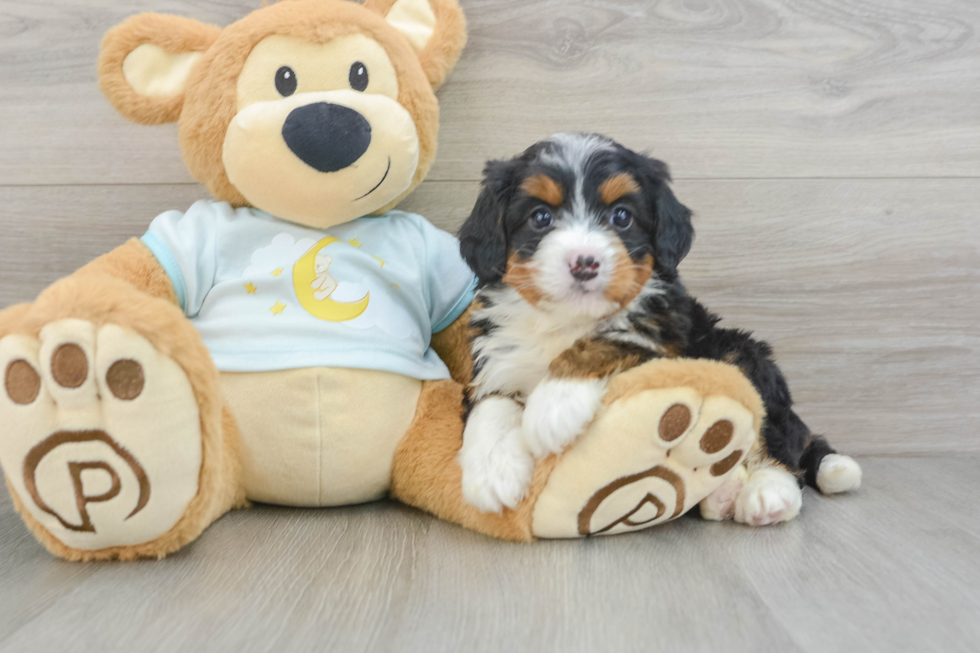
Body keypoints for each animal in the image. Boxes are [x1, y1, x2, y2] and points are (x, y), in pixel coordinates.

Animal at [456, 132, 860, 524]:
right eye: (540, 217)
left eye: (621, 216)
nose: (584, 263)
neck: (568, 319)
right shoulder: (495, 355)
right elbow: (490, 403)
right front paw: (491, 474)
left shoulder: (667, 333)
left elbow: (609, 339)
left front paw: (553, 406)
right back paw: (722, 496)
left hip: (741, 354)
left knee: (780, 442)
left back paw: (769, 494)